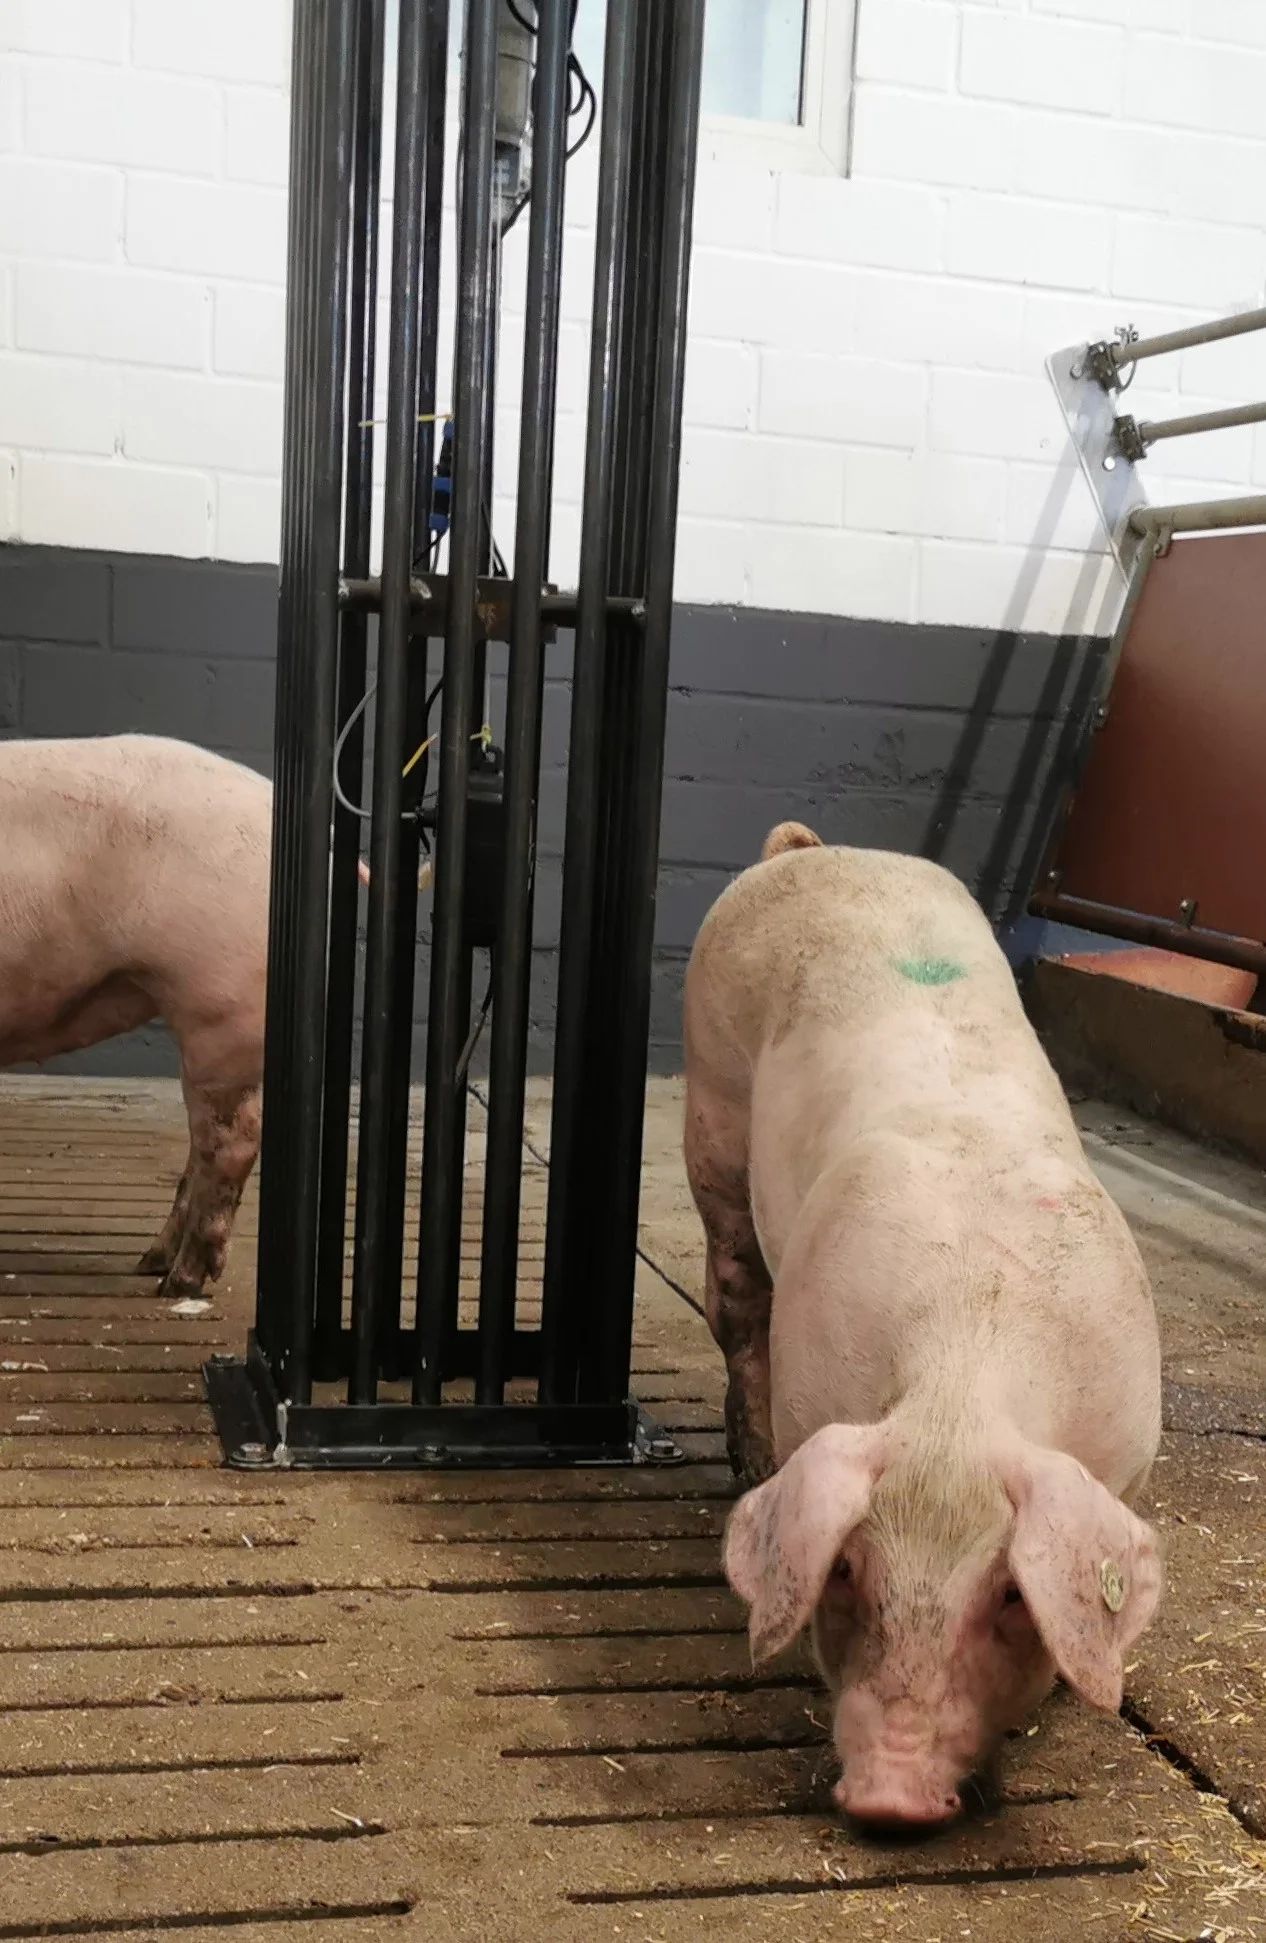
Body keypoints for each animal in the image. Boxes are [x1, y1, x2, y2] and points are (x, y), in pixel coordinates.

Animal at [683, 822, 1162, 1830]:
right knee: (735, 1296)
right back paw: (746, 1460)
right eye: (846, 1572)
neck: (965, 1365)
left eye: (1011, 1592)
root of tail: (811, 848)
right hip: (711, 1107)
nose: (890, 1792)